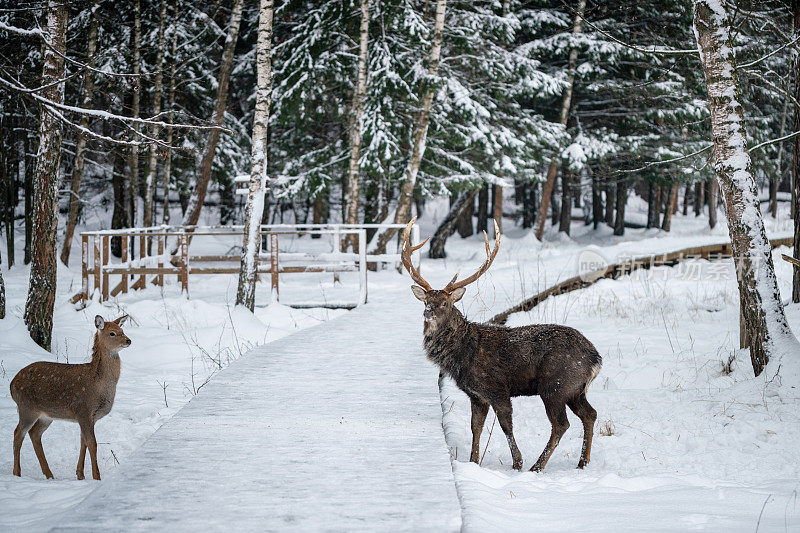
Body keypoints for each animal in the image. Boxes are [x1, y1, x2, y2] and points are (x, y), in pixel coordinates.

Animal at [10, 314, 132, 480]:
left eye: (122, 330)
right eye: (112, 333)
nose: (128, 340)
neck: (97, 384)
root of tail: (11, 384)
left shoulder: (90, 417)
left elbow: (84, 442)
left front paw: (80, 474)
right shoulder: (83, 409)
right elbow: (92, 443)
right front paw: (96, 476)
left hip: (46, 415)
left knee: (34, 433)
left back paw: (49, 474)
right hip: (26, 407)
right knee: (18, 434)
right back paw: (17, 473)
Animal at [404, 218, 604, 472]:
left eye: (445, 303)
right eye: (427, 301)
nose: (428, 312)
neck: (462, 355)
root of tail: (596, 358)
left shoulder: (497, 388)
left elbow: (506, 425)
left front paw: (517, 462)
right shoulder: (476, 395)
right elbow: (475, 427)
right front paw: (473, 461)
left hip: (555, 386)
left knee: (561, 424)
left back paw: (536, 466)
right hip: (576, 390)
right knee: (590, 414)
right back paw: (582, 462)